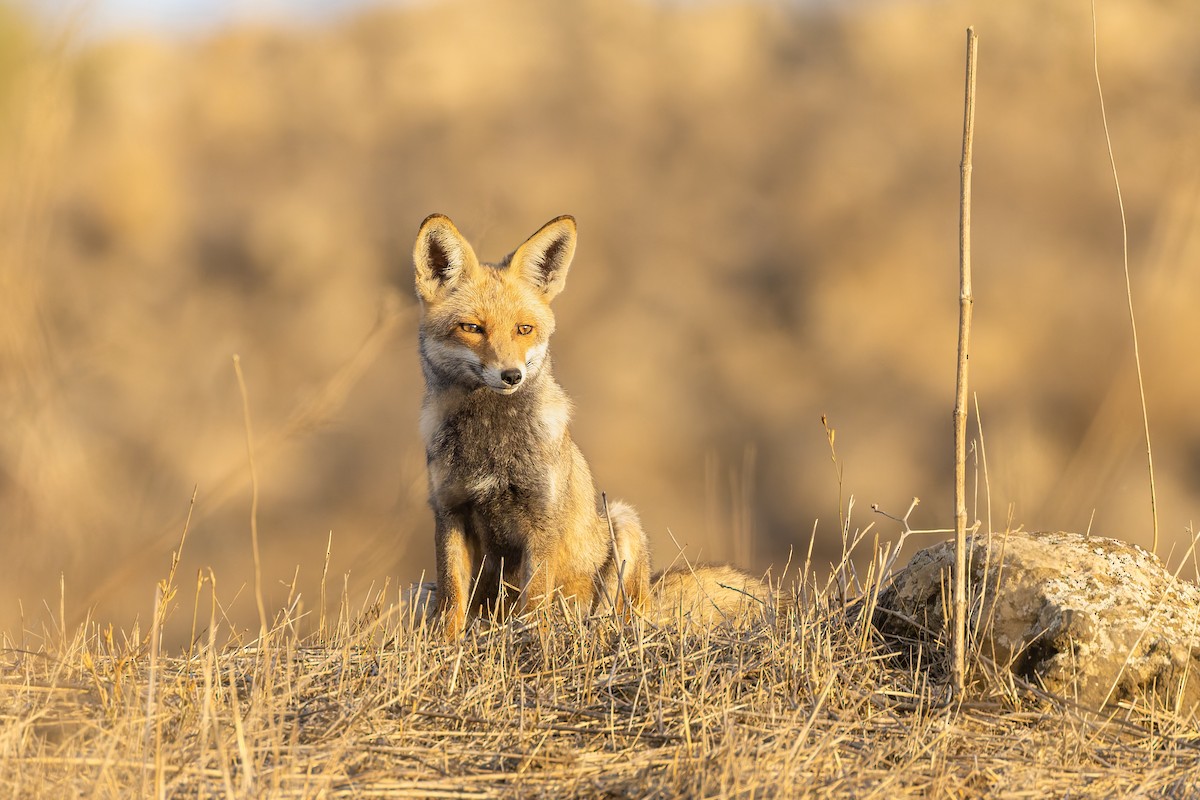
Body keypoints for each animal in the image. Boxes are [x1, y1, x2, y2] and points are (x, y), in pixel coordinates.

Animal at [413, 213, 651, 638]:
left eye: (524, 329)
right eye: (472, 328)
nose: (512, 375)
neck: (490, 446)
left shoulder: (542, 517)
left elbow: (536, 600)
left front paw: (533, 640)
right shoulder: (449, 510)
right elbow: (453, 597)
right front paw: (446, 644)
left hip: (623, 523)